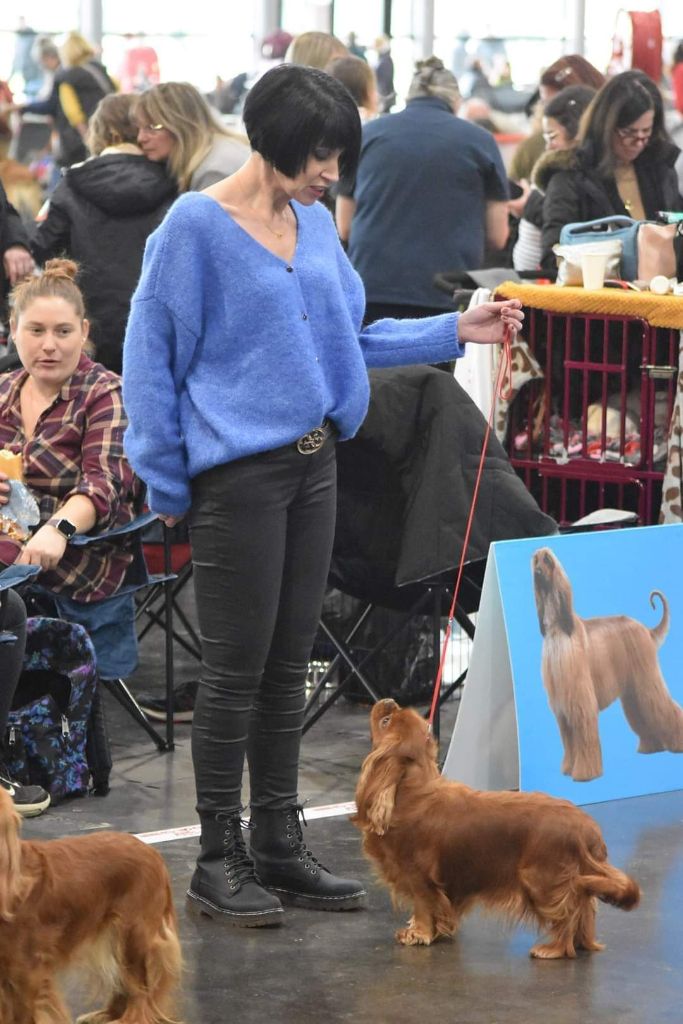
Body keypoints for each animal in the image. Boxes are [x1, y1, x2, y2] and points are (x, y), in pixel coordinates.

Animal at [356, 700, 638, 954]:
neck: (412, 789)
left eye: (386, 721)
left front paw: (419, 934)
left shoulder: (419, 876)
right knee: (584, 909)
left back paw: (552, 949)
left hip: (542, 879)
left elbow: (424, 906)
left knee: (568, 914)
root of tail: (588, 828)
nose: (389, 702)